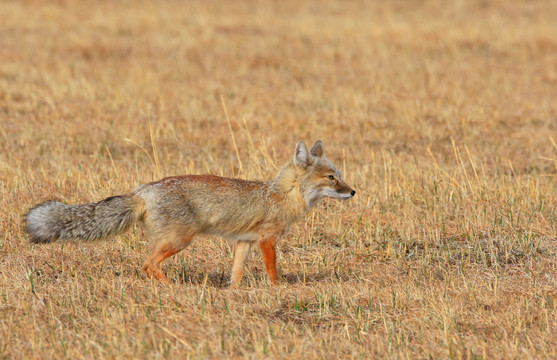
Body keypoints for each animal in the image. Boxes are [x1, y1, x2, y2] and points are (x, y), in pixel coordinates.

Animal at [23, 139, 354, 286]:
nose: (353, 192)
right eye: (331, 178)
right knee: (148, 264)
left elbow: (236, 272)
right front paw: (277, 291)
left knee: (147, 264)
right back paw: (172, 289)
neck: (280, 194)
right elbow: (273, 272)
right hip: (180, 241)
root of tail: (142, 191)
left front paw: (233, 292)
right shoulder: (267, 241)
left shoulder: (244, 242)